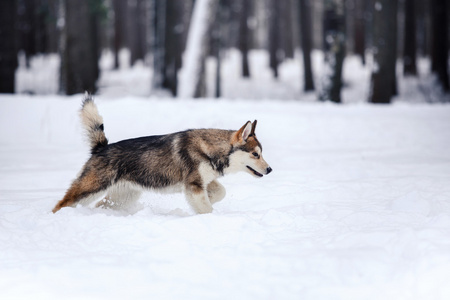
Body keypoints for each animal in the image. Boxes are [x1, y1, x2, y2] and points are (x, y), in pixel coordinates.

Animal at [52, 94, 270, 213]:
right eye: (256, 154)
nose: (269, 170)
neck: (209, 149)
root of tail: (101, 147)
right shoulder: (194, 185)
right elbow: (206, 207)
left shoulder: (201, 182)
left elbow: (219, 192)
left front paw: (210, 199)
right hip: (90, 189)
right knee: (61, 204)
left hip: (124, 196)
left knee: (100, 206)